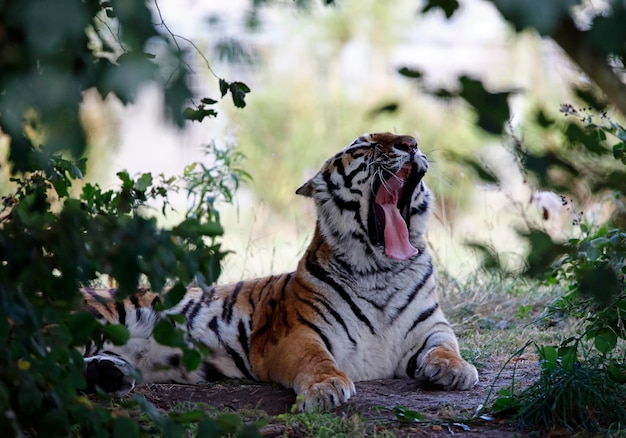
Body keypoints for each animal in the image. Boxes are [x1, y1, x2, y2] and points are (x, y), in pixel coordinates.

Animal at [80, 133, 476, 410]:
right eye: (365, 146)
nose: (412, 143)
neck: (381, 270)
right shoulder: (297, 333)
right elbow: (316, 360)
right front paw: (326, 388)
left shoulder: (431, 326)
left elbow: (446, 346)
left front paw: (456, 369)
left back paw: (108, 374)